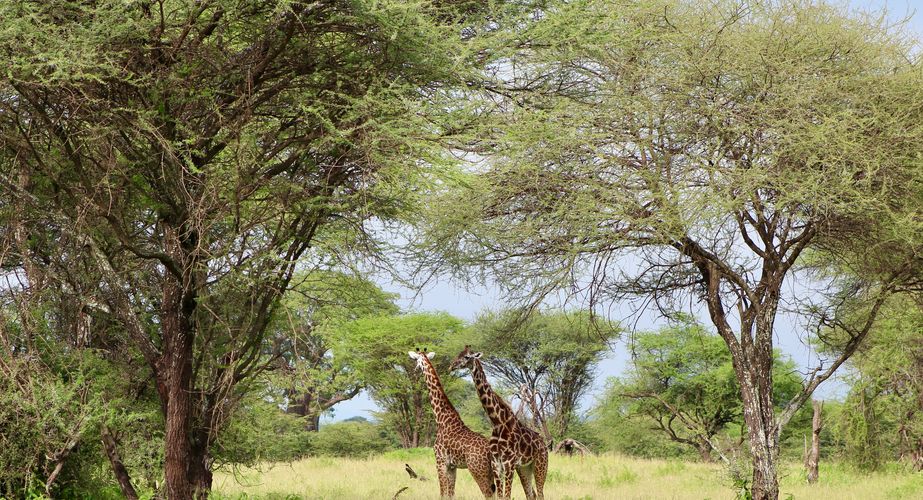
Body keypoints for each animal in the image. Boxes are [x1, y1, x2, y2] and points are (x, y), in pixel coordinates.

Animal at [408, 348, 496, 499]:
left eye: (416, 360)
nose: (414, 371)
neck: (441, 418)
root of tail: (490, 452)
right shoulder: (452, 466)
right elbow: (451, 494)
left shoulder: (440, 462)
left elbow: (443, 493)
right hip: (491, 472)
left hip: (478, 470)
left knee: (488, 494)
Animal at [450, 346, 547, 500]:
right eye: (458, 354)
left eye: (467, 357)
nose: (452, 366)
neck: (497, 422)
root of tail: (544, 444)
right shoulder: (496, 463)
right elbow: (500, 495)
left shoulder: (509, 463)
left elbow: (506, 495)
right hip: (524, 468)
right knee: (531, 494)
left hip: (540, 465)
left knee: (540, 493)